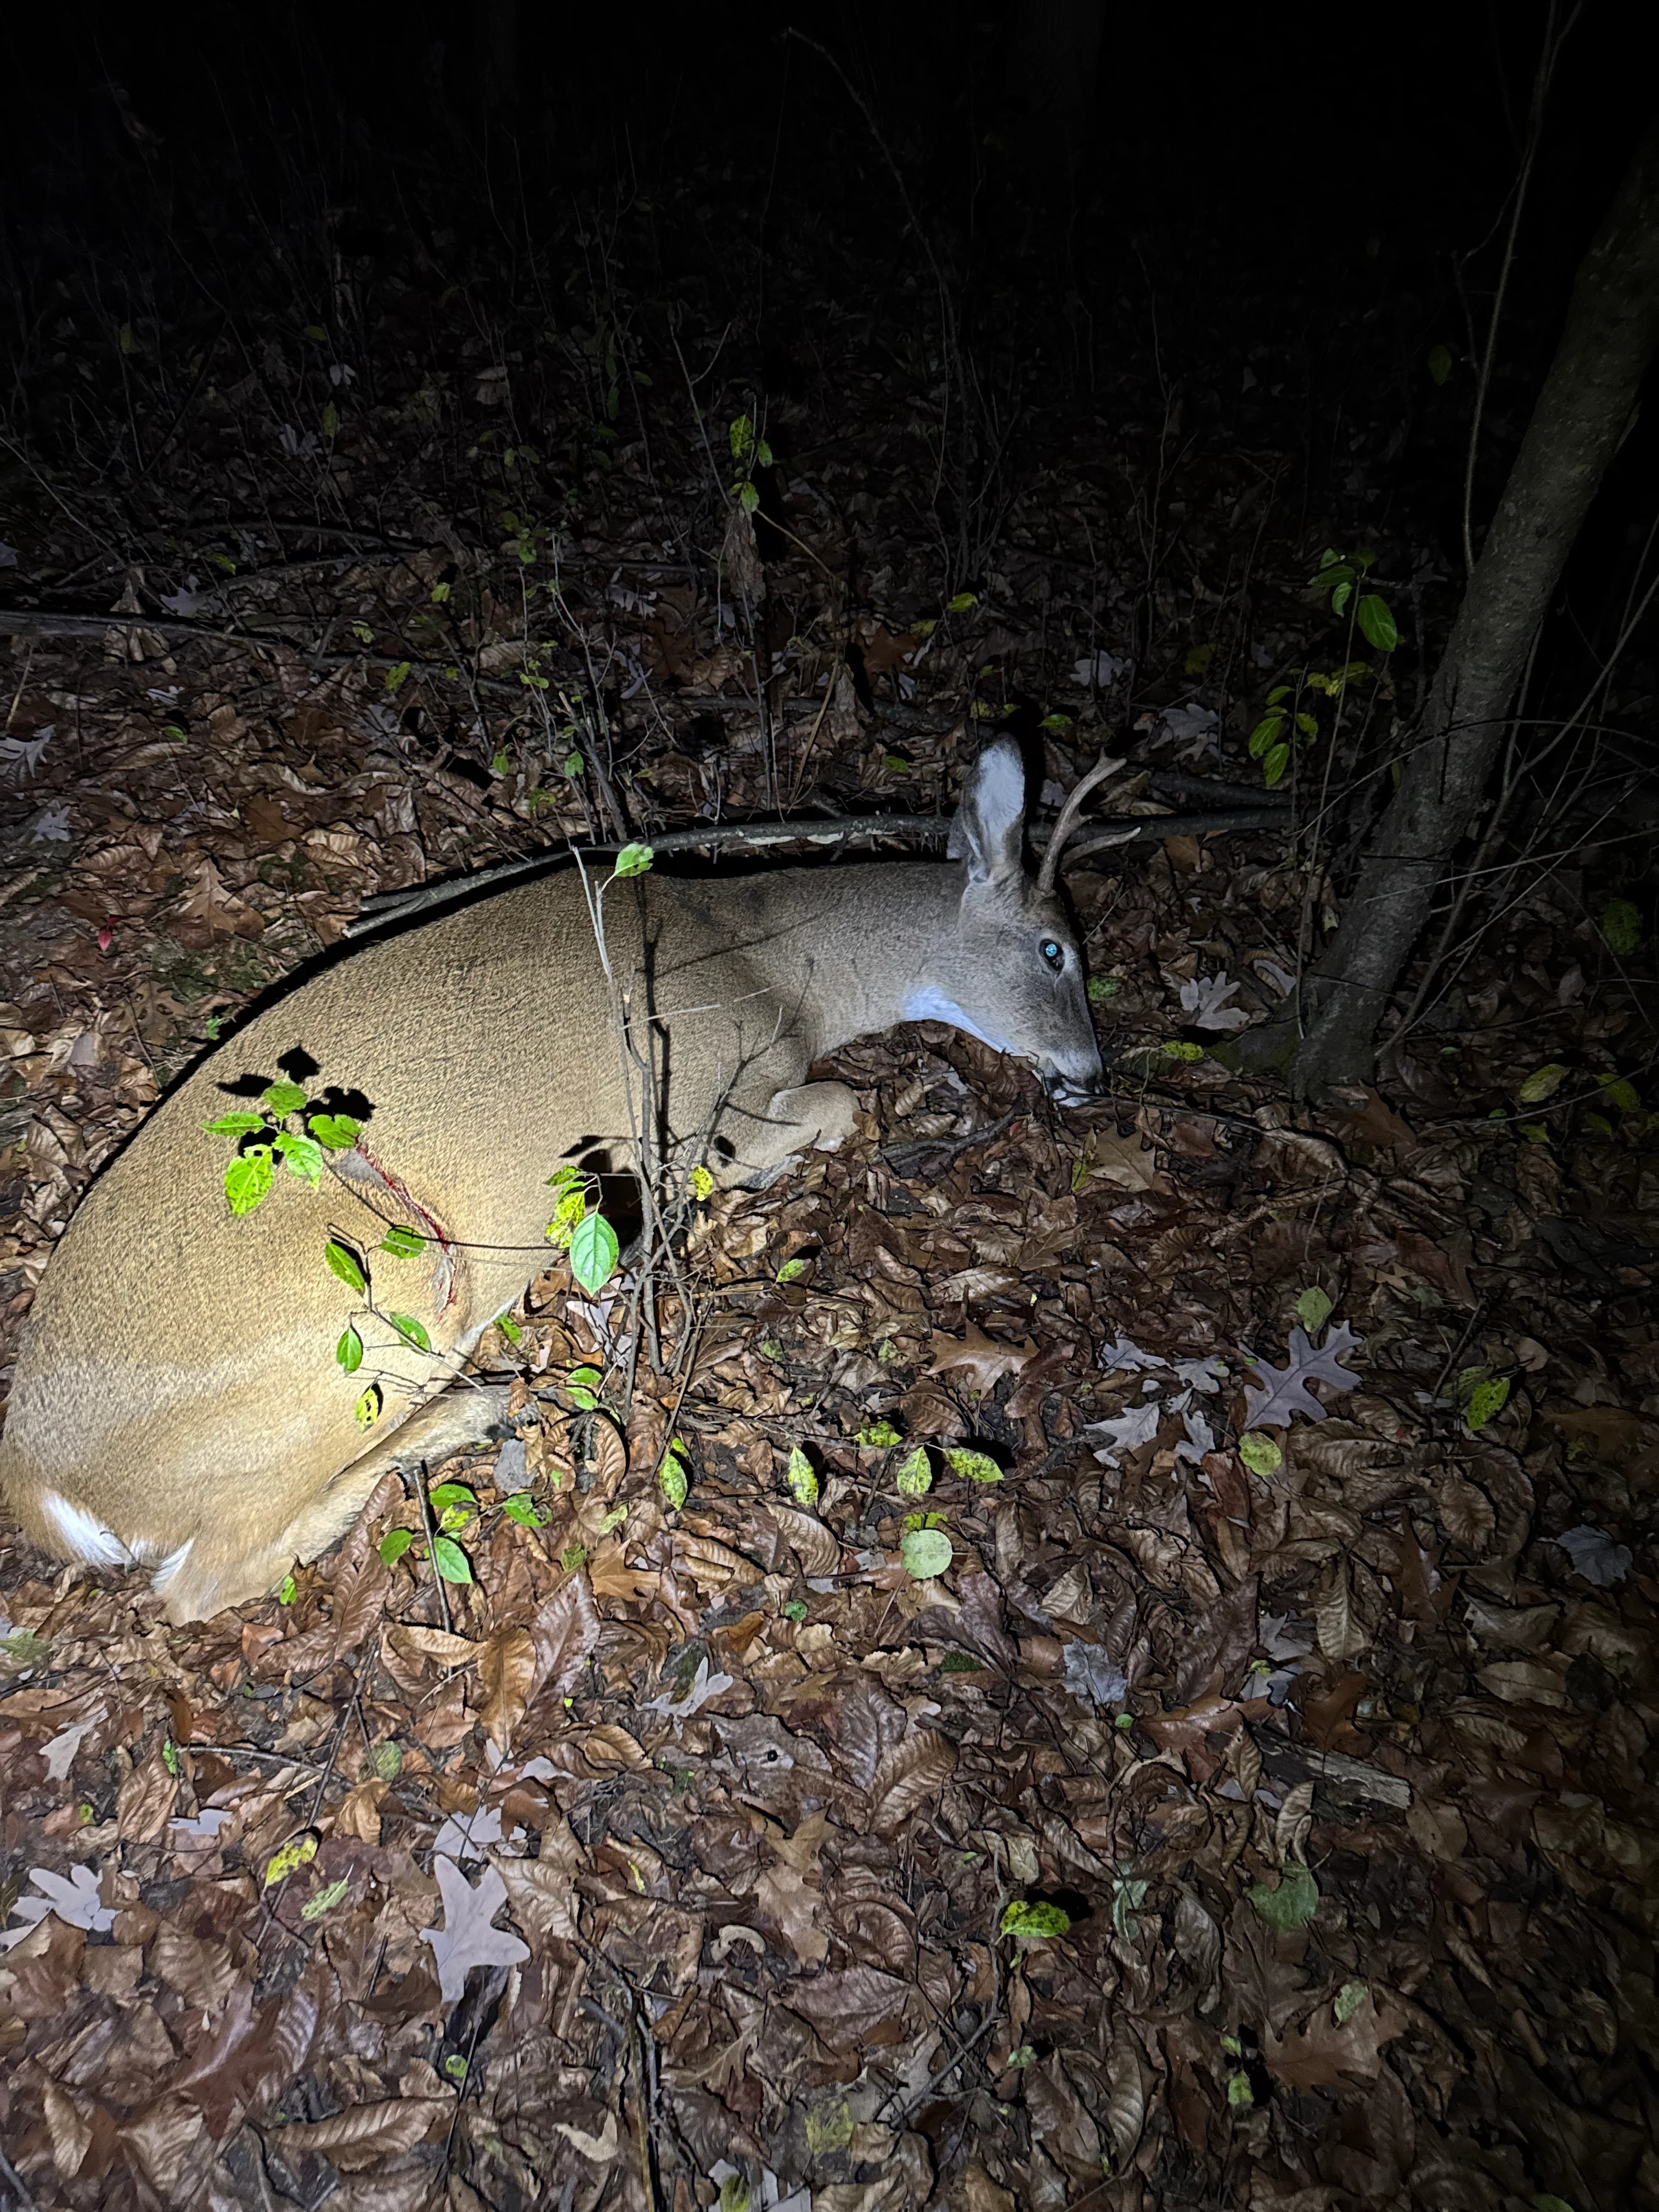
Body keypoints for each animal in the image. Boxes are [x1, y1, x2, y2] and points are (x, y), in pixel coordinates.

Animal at [0, 739, 1119, 1622]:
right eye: (1054, 949)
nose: (1092, 1075)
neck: (783, 967)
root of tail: (42, 1483)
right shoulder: (701, 1107)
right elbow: (843, 1109)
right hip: (379, 1299)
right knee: (197, 1582)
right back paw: (467, 1415)